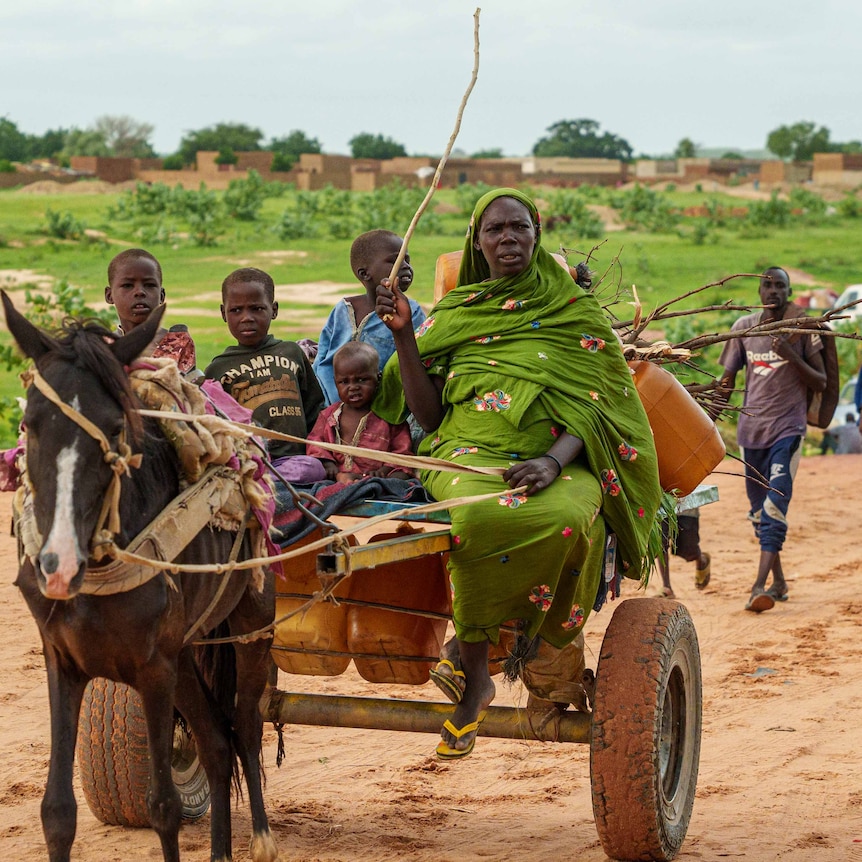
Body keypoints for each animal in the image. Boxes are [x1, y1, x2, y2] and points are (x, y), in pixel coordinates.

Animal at [2, 292, 276, 862]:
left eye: (115, 427)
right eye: (31, 424)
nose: (59, 564)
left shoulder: (152, 671)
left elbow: (163, 806)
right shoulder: (63, 660)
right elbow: (56, 812)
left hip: (251, 628)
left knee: (244, 728)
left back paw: (261, 839)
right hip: (186, 653)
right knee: (216, 745)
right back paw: (220, 851)